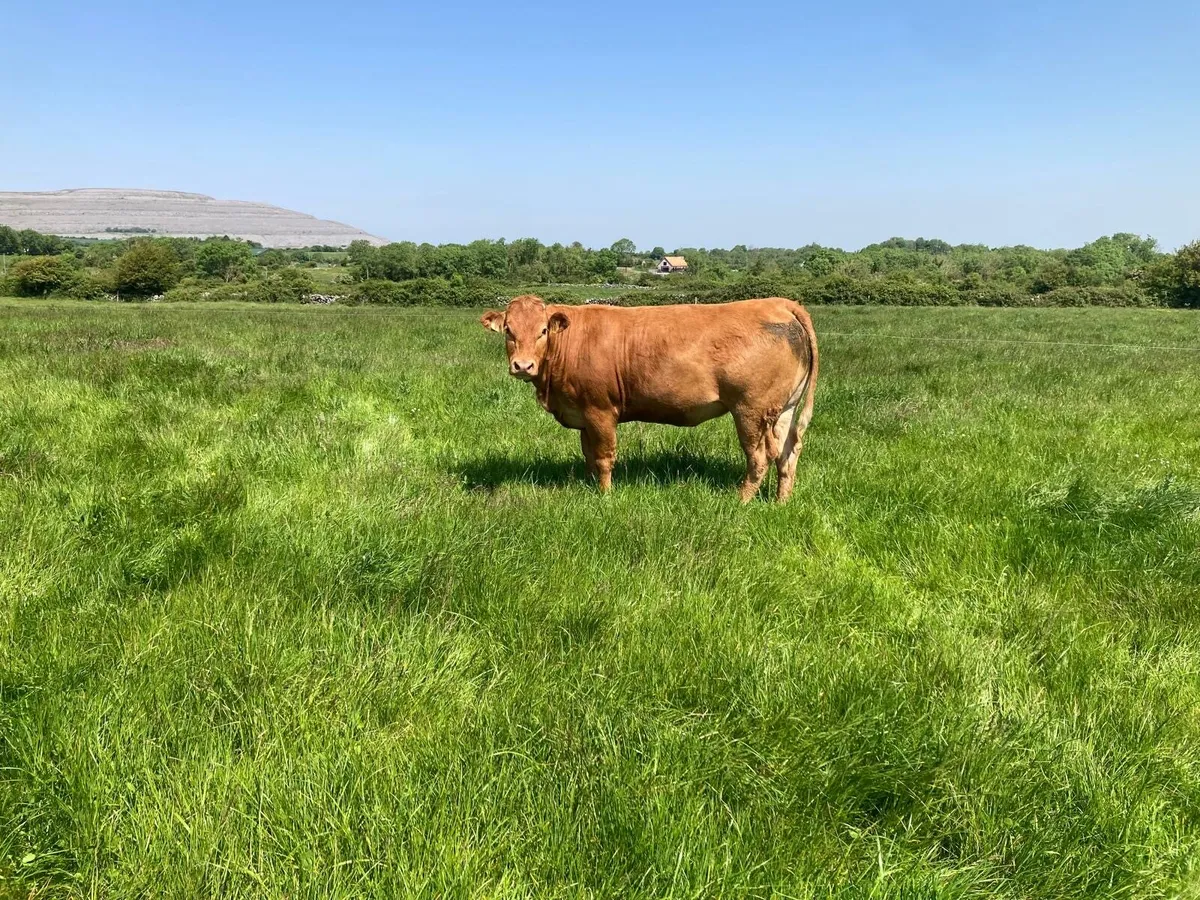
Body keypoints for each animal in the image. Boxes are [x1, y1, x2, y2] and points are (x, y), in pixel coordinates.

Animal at [480, 295, 818, 502]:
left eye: (542, 330)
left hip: (750, 410)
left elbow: (603, 457)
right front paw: (588, 488)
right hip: (784, 409)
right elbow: (588, 455)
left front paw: (605, 496)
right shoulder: (583, 414)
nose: (523, 365)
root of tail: (779, 304)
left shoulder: (600, 411)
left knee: (760, 457)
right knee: (788, 452)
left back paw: (741, 501)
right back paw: (781, 502)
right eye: (508, 331)